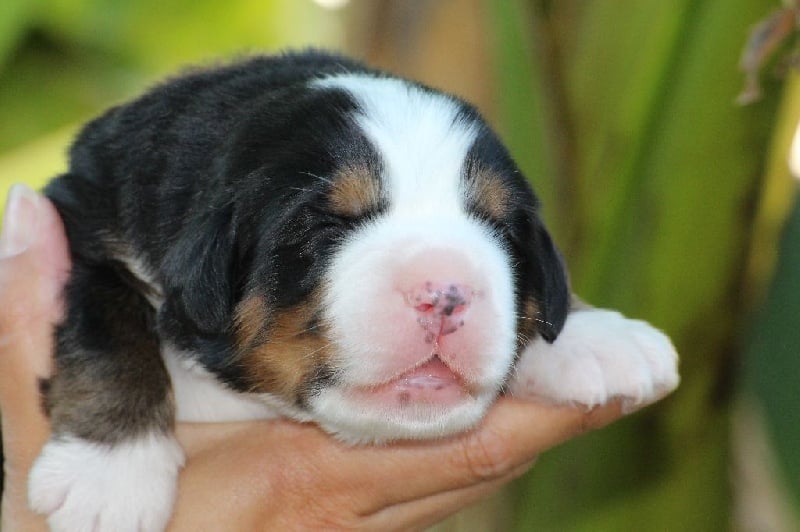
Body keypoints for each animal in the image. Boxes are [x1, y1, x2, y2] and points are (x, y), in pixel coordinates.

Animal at [28, 48, 680, 528]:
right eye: (326, 225)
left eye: (498, 228)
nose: (444, 292)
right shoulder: (83, 220)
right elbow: (108, 327)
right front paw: (109, 474)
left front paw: (596, 337)